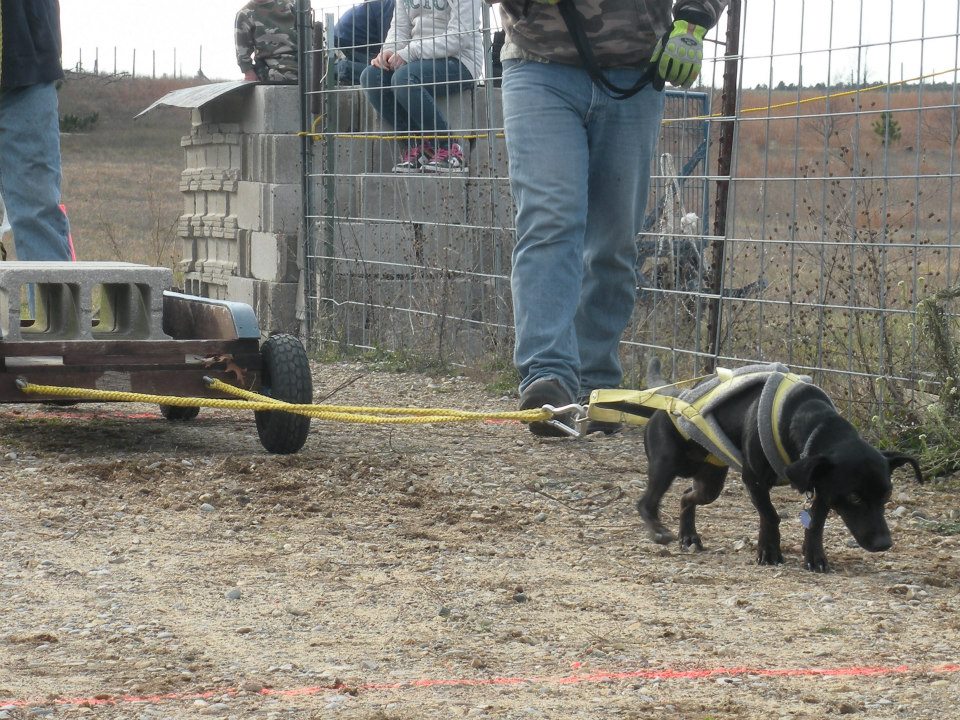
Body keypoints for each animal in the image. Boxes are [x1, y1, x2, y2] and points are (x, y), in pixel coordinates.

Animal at [636, 360, 924, 572]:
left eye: (887, 495)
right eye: (854, 497)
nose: (884, 544)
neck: (813, 422)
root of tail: (673, 395)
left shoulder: (824, 488)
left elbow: (815, 524)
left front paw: (814, 557)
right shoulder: (754, 480)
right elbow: (770, 514)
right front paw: (769, 551)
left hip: (710, 482)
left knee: (687, 496)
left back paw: (689, 536)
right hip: (668, 464)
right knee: (646, 502)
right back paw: (659, 531)